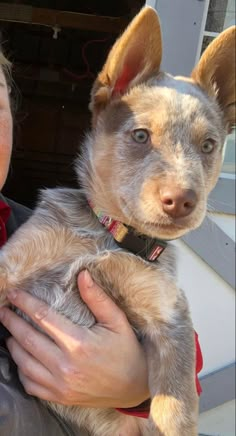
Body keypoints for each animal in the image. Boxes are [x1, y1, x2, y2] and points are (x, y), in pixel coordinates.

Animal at [0, 6, 235, 436]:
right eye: (141, 136)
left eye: (209, 145)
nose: (182, 200)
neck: (110, 237)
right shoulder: (10, 268)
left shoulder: (169, 317)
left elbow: (174, 410)